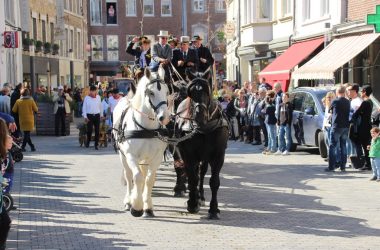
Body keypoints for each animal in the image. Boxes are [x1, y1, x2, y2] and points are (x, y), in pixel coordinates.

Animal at [112, 69, 170, 217]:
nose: (165, 117)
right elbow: (137, 177)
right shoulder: (131, 156)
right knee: (129, 175)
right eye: (151, 92)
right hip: (123, 155)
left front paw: (147, 206)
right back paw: (128, 201)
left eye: (167, 92)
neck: (146, 129)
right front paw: (136, 206)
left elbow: (149, 179)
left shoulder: (156, 158)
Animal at [175, 70, 229, 219]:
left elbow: (214, 182)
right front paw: (193, 204)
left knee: (202, 173)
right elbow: (193, 178)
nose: (199, 116)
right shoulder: (188, 154)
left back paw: (201, 197)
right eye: (191, 92)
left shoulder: (218, 155)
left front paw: (214, 209)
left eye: (207, 91)